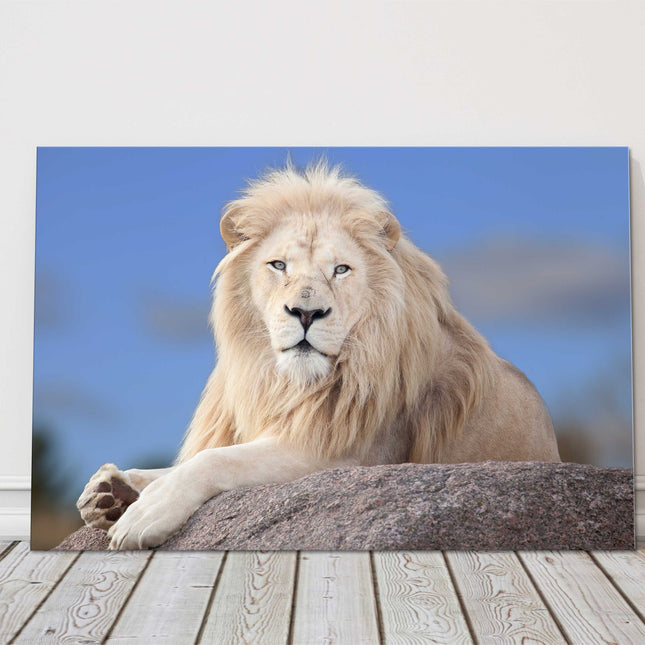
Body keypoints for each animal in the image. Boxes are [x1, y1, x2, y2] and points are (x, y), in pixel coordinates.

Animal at [77, 162, 560, 549]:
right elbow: (186, 462)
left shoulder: (344, 454)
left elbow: (217, 458)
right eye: (278, 265)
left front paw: (143, 513)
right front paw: (112, 490)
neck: (285, 380)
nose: (307, 312)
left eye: (340, 270)